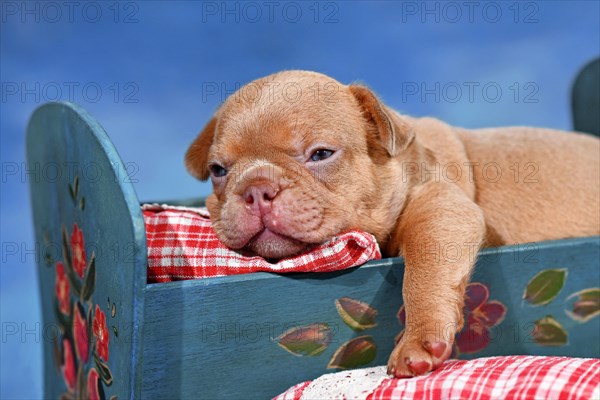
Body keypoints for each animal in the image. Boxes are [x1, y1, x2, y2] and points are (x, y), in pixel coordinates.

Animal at [184, 71, 600, 378]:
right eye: (218, 171)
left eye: (320, 154)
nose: (256, 188)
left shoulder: (439, 206)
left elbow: (423, 270)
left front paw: (419, 339)